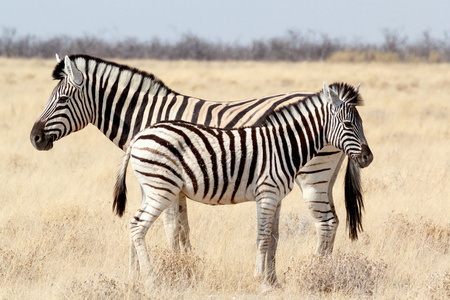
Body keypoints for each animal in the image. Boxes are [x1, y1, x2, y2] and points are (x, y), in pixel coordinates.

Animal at [32, 54, 366, 258]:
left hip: (313, 176)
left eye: (62, 99)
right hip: (325, 177)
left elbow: (171, 228)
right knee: (333, 221)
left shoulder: (165, 183)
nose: (34, 138)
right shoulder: (176, 185)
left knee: (326, 223)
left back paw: (318, 270)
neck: (149, 115)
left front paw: (175, 266)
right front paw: (185, 262)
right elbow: (182, 228)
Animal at [113, 81, 372, 286]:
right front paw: (260, 280)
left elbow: (273, 237)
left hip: (151, 189)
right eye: (348, 124)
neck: (284, 146)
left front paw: (271, 281)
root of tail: (140, 135)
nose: (368, 158)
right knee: (138, 226)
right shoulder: (266, 193)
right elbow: (263, 236)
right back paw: (150, 279)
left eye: (361, 123)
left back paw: (136, 277)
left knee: (134, 224)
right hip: (161, 189)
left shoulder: (276, 197)